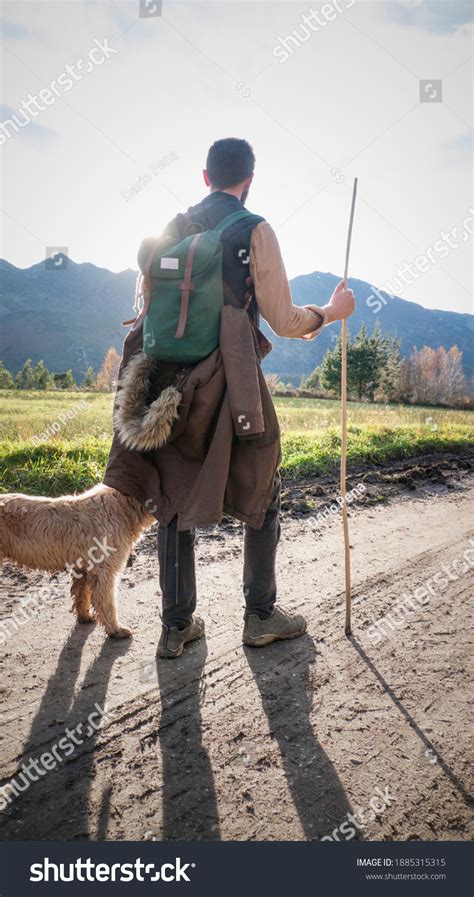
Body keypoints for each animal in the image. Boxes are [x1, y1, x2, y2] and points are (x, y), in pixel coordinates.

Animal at [0, 484, 155, 636]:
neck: (122, 507)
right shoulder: (104, 571)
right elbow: (107, 602)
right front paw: (116, 629)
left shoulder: (83, 568)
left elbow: (82, 595)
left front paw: (85, 617)